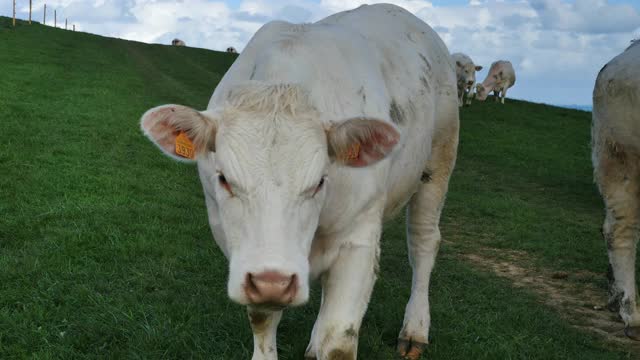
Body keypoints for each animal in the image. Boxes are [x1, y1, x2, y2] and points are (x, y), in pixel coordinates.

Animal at [140, 3, 460, 360]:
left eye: (320, 181)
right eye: (223, 178)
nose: (274, 282)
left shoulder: (358, 239)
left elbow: (338, 343)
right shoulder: (240, 249)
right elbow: (263, 320)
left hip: (439, 158)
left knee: (423, 242)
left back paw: (415, 329)